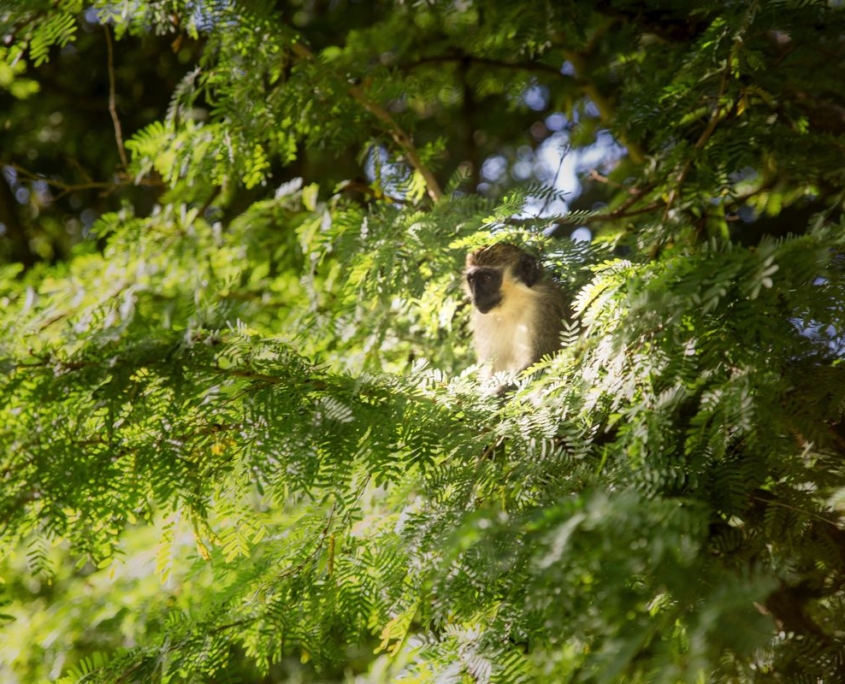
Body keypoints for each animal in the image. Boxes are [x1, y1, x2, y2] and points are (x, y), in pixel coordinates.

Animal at [464, 242, 569, 379]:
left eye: (486, 278)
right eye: (472, 280)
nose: (476, 297)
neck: (512, 308)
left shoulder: (543, 308)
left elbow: (542, 361)